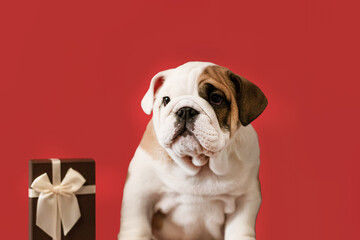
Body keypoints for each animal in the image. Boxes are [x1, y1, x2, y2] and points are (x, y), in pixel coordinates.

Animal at [118, 62, 268, 240]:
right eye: (166, 100)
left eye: (216, 98)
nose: (185, 110)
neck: (199, 163)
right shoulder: (140, 194)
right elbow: (136, 226)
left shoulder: (245, 198)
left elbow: (240, 228)